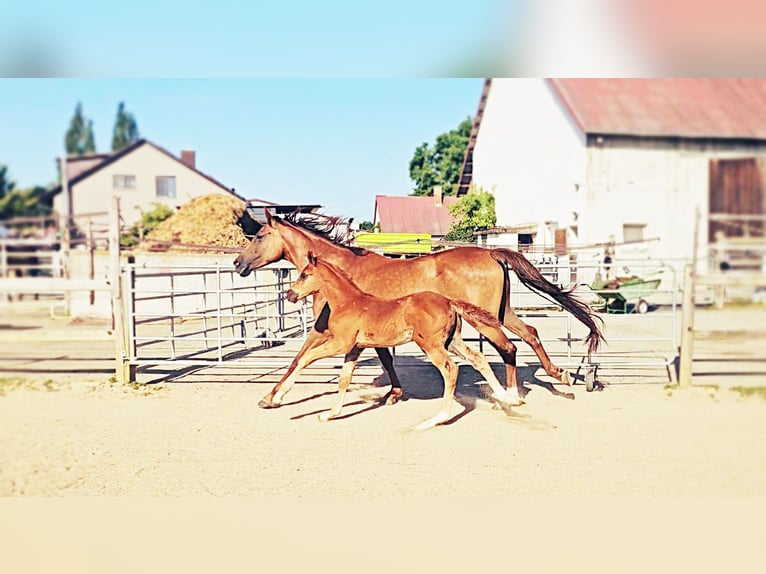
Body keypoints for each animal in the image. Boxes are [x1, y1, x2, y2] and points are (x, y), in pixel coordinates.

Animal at [233, 211, 604, 408]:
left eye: (260, 236)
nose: (237, 264)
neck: (338, 271)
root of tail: (491, 252)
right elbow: (384, 358)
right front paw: (394, 393)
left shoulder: (326, 329)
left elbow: (298, 358)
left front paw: (271, 396)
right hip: (501, 313)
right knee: (529, 334)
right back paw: (558, 376)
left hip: (487, 320)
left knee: (508, 347)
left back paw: (511, 394)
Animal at [280, 253, 524, 429]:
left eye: (304, 275)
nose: (290, 295)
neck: (349, 302)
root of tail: (449, 302)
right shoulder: (355, 348)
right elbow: (344, 379)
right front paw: (330, 414)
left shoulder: (341, 343)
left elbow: (306, 357)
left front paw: (282, 395)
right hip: (451, 341)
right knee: (478, 358)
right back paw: (509, 399)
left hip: (431, 345)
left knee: (450, 369)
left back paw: (436, 419)